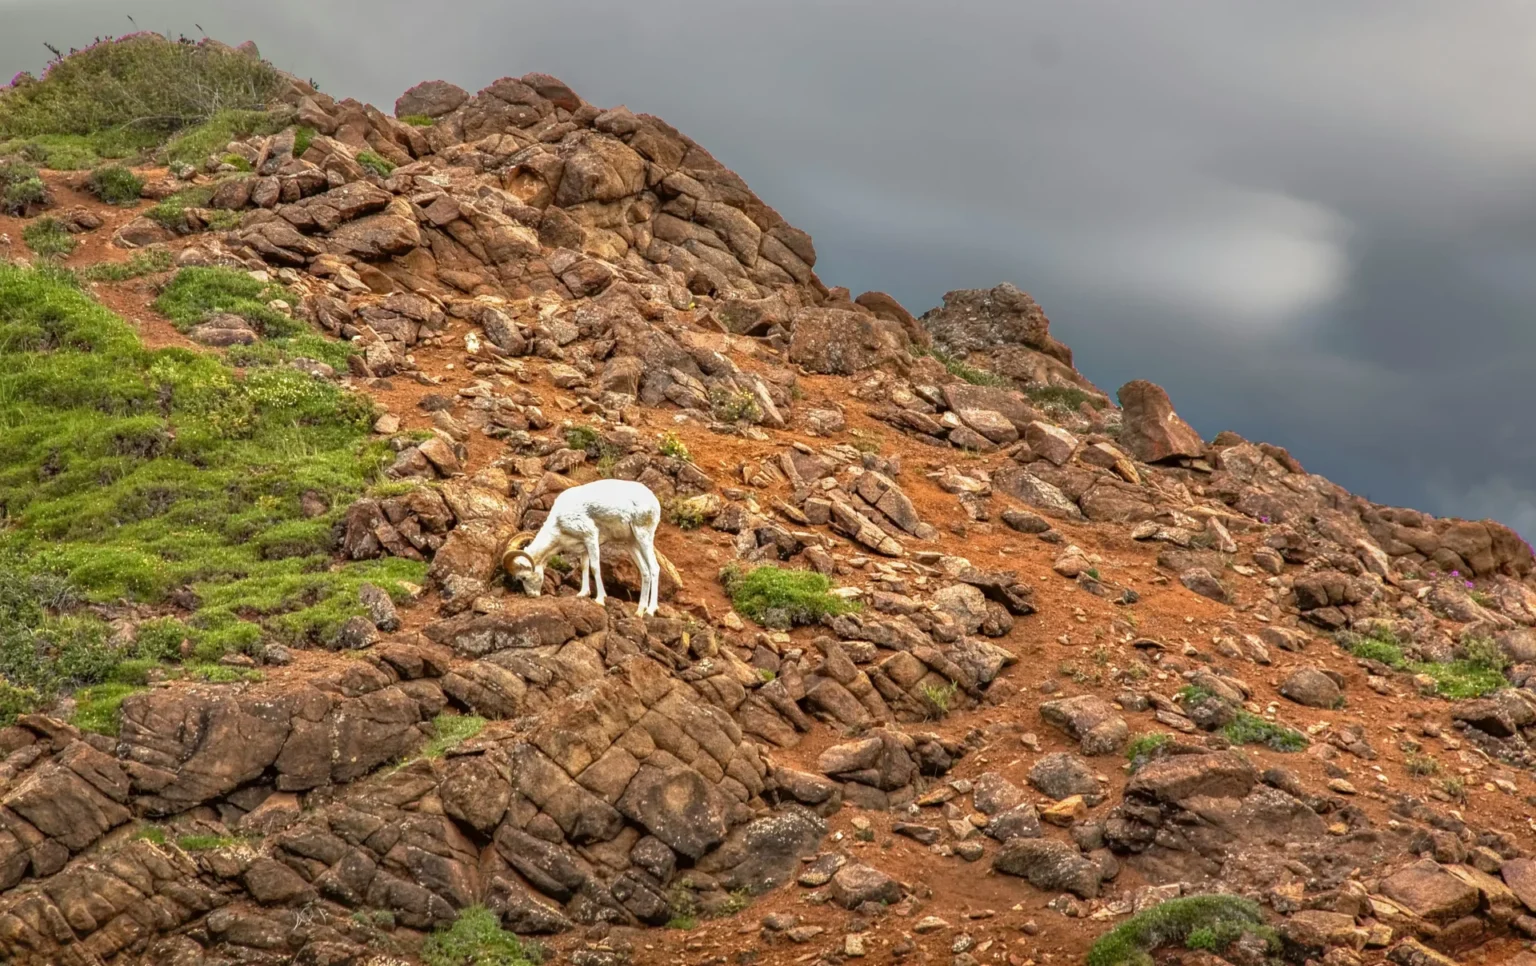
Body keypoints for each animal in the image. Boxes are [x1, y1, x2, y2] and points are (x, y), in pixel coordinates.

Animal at [502, 478, 663, 616]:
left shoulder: (591, 536)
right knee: (645, 571)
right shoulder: (584, 547)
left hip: (643, 536)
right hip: (631, 543)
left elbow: (595, 567)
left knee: (654, 568)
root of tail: (653, 499)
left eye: (522, 577)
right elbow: (584, 567)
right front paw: (582, 594)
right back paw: (639, 611)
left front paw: (600, 600)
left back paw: (650, 610)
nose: (531, 596)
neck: (558, 524)